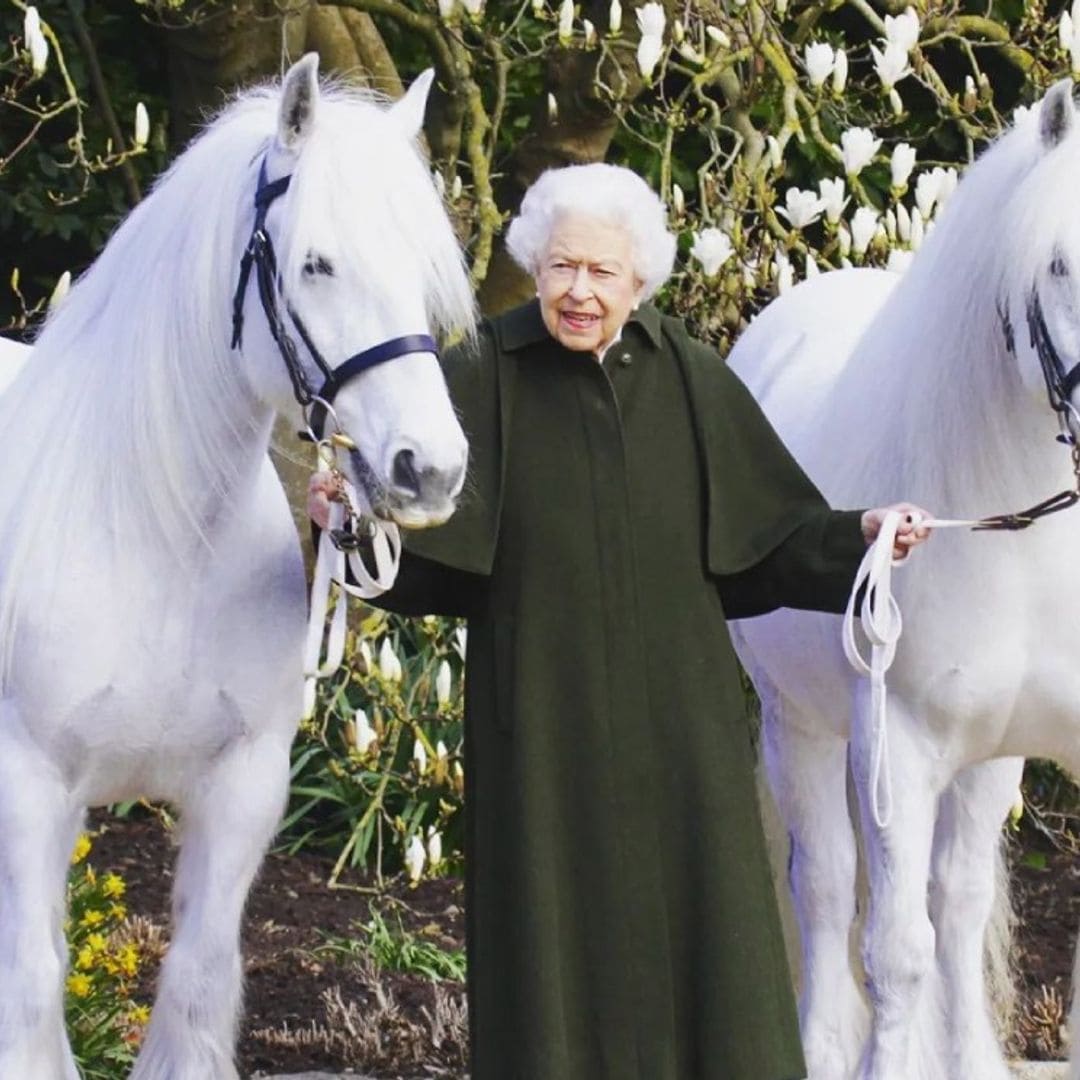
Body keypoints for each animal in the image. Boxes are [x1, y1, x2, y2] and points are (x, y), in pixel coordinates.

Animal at [0, 52, 473, 1080]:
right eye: (317, 263)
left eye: (423, 269)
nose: (430, 469)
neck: (154, 535)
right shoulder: (29, 789)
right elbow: (32, 997)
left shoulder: (243, 787)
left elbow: (197, 985)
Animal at [730, 78, 1080, 1080]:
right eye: (1056, 264)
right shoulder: (901, 751)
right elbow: (892, 950)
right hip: (803, 727)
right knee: (827, 887)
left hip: (989, 760)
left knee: (956, 908)